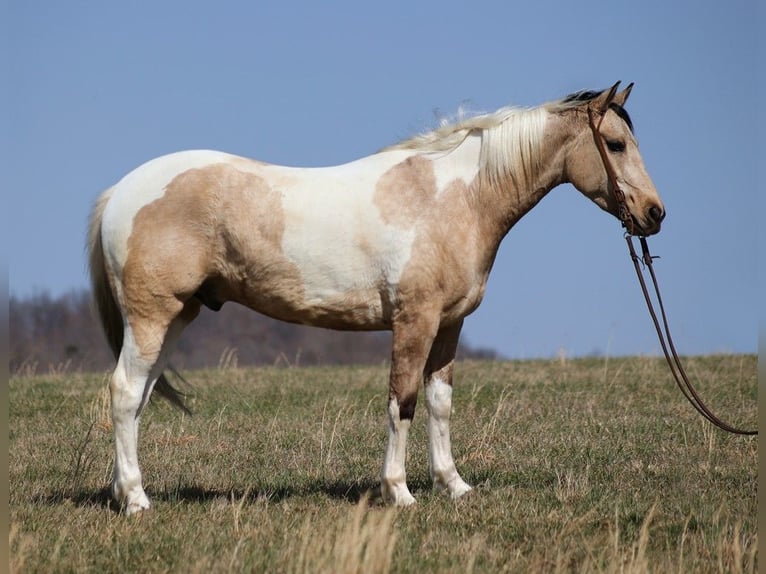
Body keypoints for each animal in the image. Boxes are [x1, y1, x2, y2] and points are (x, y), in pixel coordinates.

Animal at [88, 82, 664, 516]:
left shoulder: (448, 325)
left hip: (176, 318)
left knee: (139, 397)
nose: (655, 214)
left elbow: (439, 402)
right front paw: (399, 492)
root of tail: (119, 192)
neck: (454, 197)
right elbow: (401, 401)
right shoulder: (415, 322)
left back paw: (126, 490)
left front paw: (454, 485)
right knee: (124, 392)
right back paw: (136, 500)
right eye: (615, 144)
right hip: (153, 316)